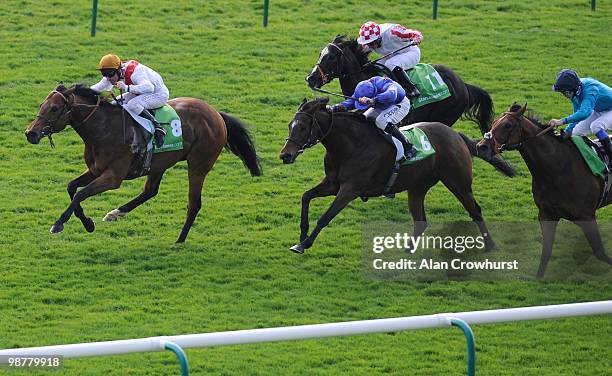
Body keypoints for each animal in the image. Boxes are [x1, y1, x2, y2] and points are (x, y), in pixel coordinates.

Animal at [25, 83, 260, 242]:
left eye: (54, 109)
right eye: (42, 105)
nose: (31, 133)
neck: (103, 129)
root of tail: (215, 113)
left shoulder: (113, 177)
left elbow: (81, 193)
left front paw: (59, 223)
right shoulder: (95, 170)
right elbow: (71, 187)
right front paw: (87, 222)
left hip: (198, 165)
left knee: (194, 204)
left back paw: (179, 241)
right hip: (158, 164)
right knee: (150, 191)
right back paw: (115, 213)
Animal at [278, 98, 516, 254]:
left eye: (303, 127)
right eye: (290, 125)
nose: (285, 155)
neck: (349, 145)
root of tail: (455, 134)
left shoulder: (349, 189)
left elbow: (325, 217)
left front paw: (304, 244)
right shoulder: (332, 184)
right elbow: (306, 196)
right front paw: (301, 236)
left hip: (458, 182)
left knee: (475, 210)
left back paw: (490, 245)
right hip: (417, 187)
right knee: (421, 221)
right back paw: (408, 250)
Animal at [476, 102, 612, 276]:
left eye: (507, 125)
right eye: (493, 123)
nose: (481, 147)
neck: (558, 168)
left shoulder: (586, 216)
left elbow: (600, 252)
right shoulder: (546, 214)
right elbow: (546, 253)